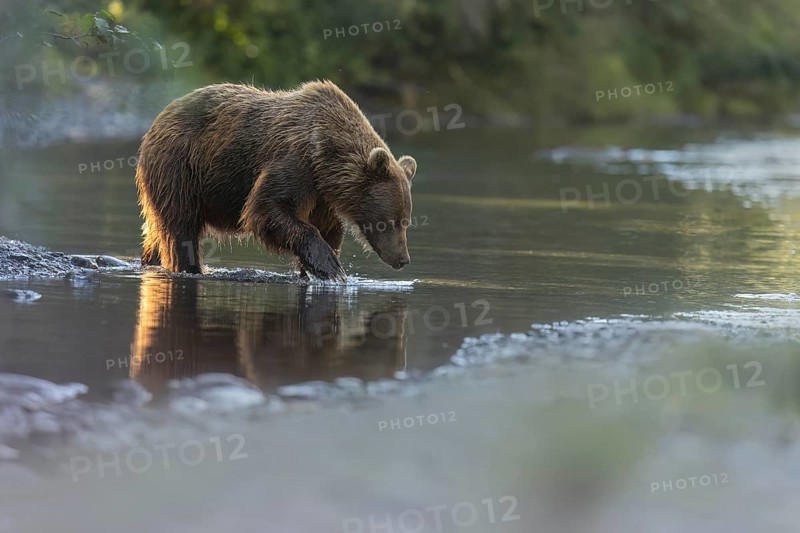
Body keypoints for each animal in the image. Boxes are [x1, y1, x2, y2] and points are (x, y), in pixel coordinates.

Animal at [135, 81, 417, 281]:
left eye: (406, 221)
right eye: (389, 221)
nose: (403, 259)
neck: (325, 160)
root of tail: (159, 119)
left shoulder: (323, 197)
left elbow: (327, 228)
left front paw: (313, 268)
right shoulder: (295, 163)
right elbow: (267, 209)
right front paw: (330, 265)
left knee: (155, 234)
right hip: (179, 168)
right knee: (181, 228)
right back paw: (190, 267)